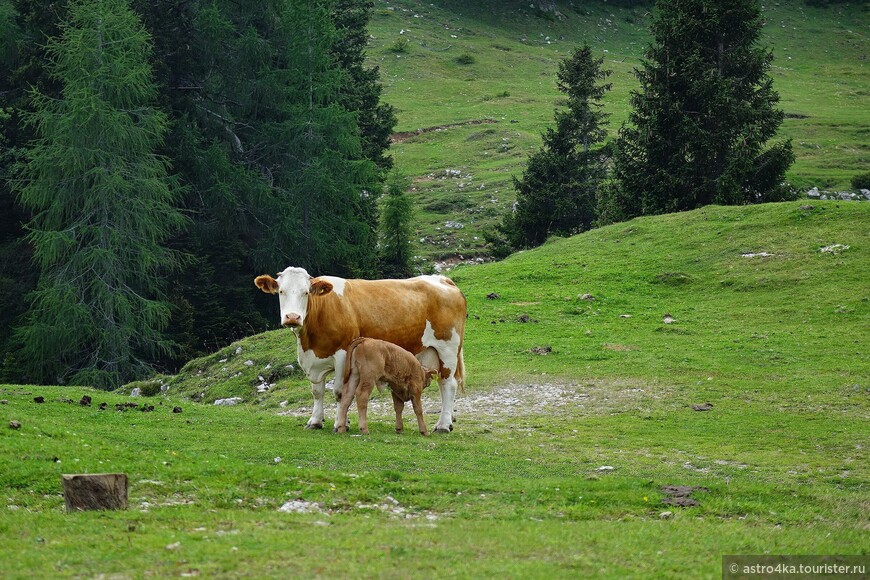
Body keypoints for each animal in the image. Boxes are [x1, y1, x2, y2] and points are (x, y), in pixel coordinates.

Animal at [254, 266, 466, 432]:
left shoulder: (342, 354)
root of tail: (441, 279)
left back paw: (443, 425)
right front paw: (315, 421)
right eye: (281, 291)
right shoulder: (312, 360)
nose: (292, 317)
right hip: (429, 351)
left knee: (448, 384)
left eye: (306, 292)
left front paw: (341, 423)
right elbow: (317, 391)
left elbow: (340, 391)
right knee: (442, 382)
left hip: (448, 348)